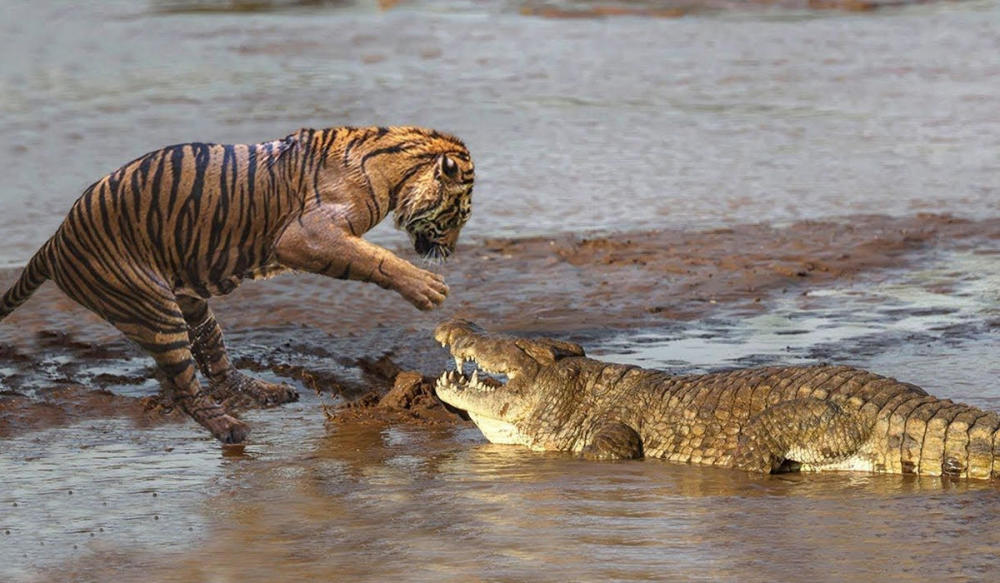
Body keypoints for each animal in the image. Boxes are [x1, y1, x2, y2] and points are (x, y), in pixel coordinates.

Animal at [0, 126, 474, 442]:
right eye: (458, 216)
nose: (450, 251)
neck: (397, 169)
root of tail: (54, 241)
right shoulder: (304, 236)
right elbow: (373, 258)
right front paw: (427, 288)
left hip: (191, 306)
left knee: (217, 365)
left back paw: (267, 392)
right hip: (155, 312)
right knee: (186, 390)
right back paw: (230, 428)